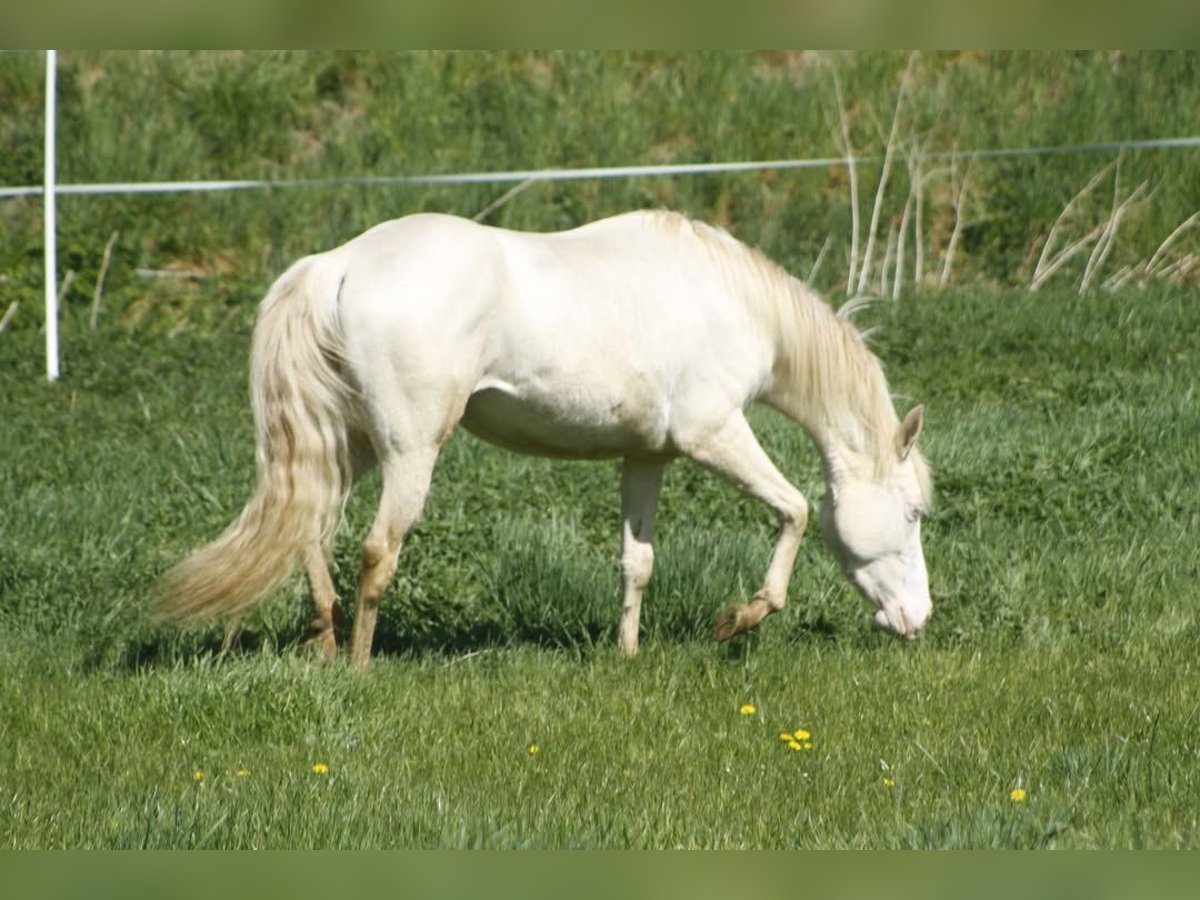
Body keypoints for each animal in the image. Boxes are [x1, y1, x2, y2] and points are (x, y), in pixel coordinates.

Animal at [157, 210, 932, 669]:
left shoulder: (646, 456)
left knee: (308, 528)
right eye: (914, 513)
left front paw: (626, 654)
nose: (917, 618)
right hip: (409, 451)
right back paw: (356, 665)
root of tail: (338, 263)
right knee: (376, 552)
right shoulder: (713, 434)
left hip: (349, 443)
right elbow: (795, 509)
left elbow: (637, 562)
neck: (730, 299)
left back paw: (322, 639)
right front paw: (738, 620)